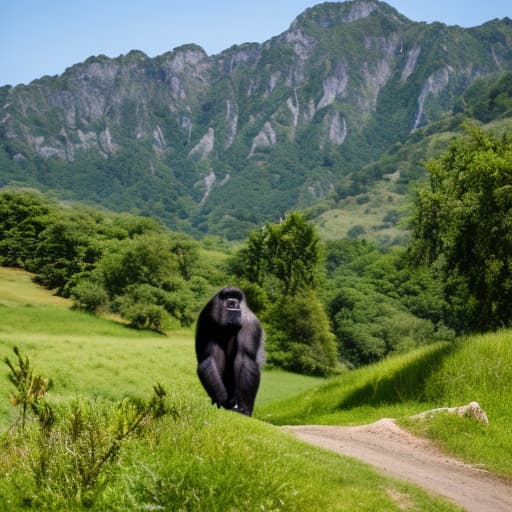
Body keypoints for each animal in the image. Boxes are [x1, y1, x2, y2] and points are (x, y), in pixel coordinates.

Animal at [195, 286, 264, 414]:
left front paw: (245, 408)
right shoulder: (206, 319)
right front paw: (220, 399)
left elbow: (246, 358)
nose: (233, 303)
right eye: (227, 296)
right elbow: (209, 358)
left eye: (236, 297)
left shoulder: (249, 323)